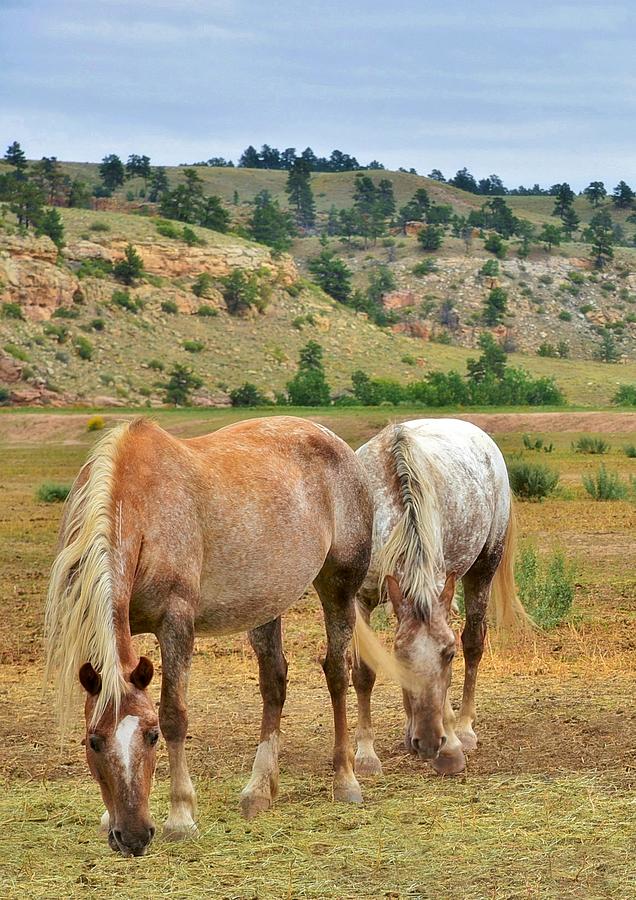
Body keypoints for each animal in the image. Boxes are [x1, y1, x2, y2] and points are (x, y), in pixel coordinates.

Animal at [46, 418, 372, 856]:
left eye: (151, 736)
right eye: (92, 742)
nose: (133, 837)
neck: (139, 503)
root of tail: (333, 441)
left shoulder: (176, 622)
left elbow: (175, 714)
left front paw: (181, 817)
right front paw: (105, 817)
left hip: (339, 587)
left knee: (337, 673)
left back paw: (345, 780)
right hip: (265, 602)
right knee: (274, 683)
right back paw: (259, 790)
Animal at [352, 418, 528, 776]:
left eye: (448, 655)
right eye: (400, 656)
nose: (430, 743)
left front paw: (451, 746)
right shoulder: (363, 598)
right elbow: (364, 671)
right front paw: (365, 754)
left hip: (483, 569)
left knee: (474, 642)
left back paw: (464, 729)